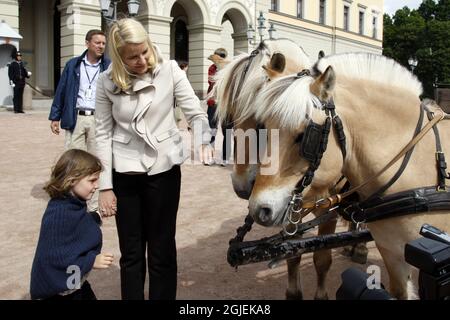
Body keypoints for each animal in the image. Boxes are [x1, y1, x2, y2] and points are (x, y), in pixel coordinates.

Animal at [214, 39, 352, 300]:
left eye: (260, 121)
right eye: (229, 119)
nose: (240, 186)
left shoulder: (328, 205)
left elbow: (321, 257)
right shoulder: (291, 206)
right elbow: (292, 252)